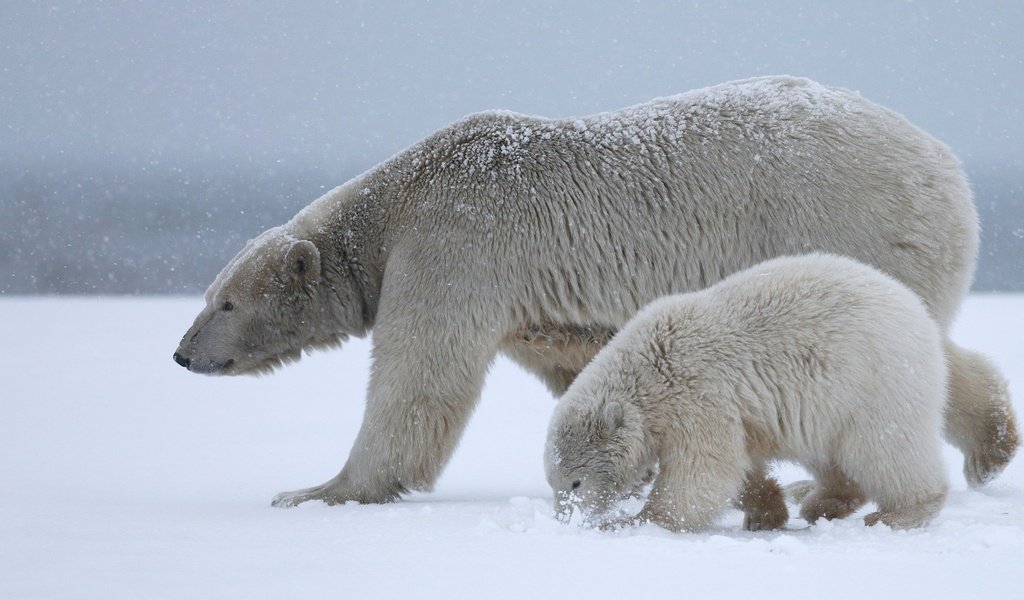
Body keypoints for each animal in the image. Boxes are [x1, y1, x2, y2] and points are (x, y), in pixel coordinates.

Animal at [548, 250, 946, 528]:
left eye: (575, 483)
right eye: (553, 482)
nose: (563, 518)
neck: (651, 365)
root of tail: (919, 314)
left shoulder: (697, 393)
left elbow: (703, 470)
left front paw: (635, 521)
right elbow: (738, 466)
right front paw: (766, 511)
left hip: (875, 383)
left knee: (886, 449)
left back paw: (900, 512)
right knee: (831, 455)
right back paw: (820, 503)